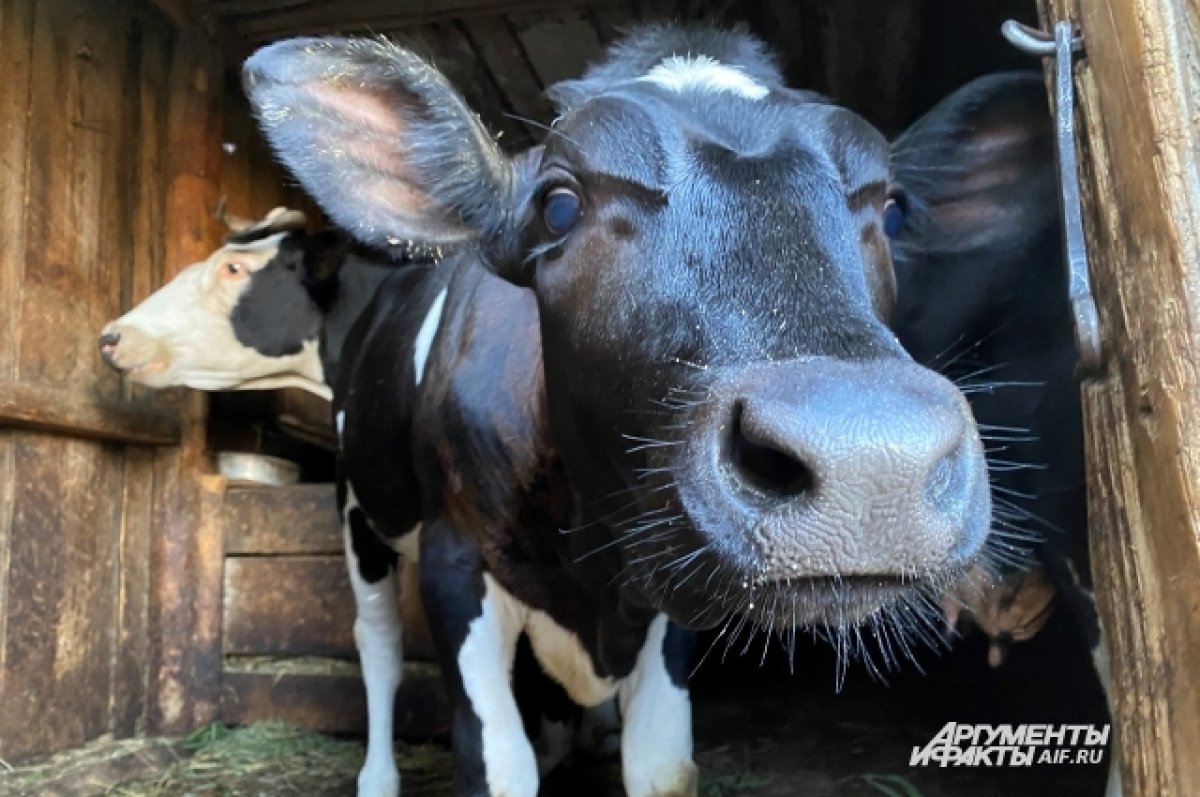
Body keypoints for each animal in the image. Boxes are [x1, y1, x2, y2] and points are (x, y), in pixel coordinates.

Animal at [229, 24, 1075, 797]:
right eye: (558, 206)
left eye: (893, 210)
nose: (869, 459)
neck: (590, 559)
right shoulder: (453, 556)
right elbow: (497, 762)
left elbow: (661, 762)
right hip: (358, 508)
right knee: (374, 641)